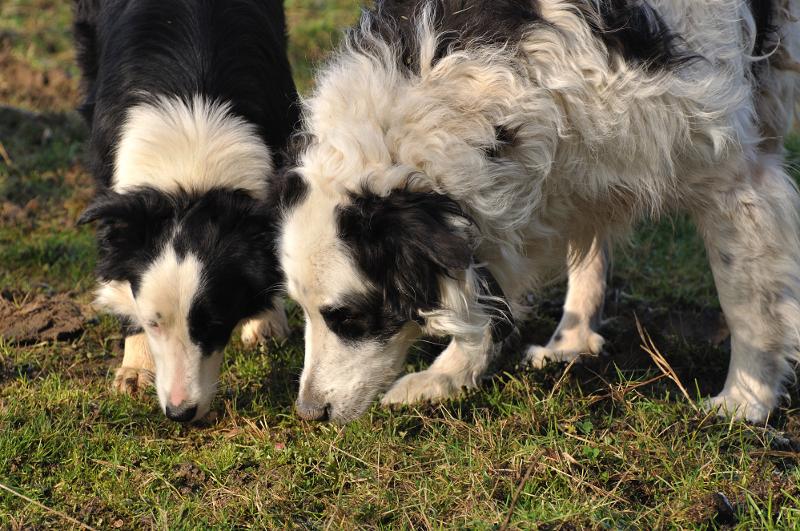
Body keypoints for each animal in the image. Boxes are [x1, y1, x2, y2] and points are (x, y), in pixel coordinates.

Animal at [280, 0, 800, 424]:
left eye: (349, 317)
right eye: (303, 310)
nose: (309, 413)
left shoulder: (734, 176)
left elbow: (748, 304)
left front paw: (745, 402)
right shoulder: (563, 167)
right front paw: (453, 375)